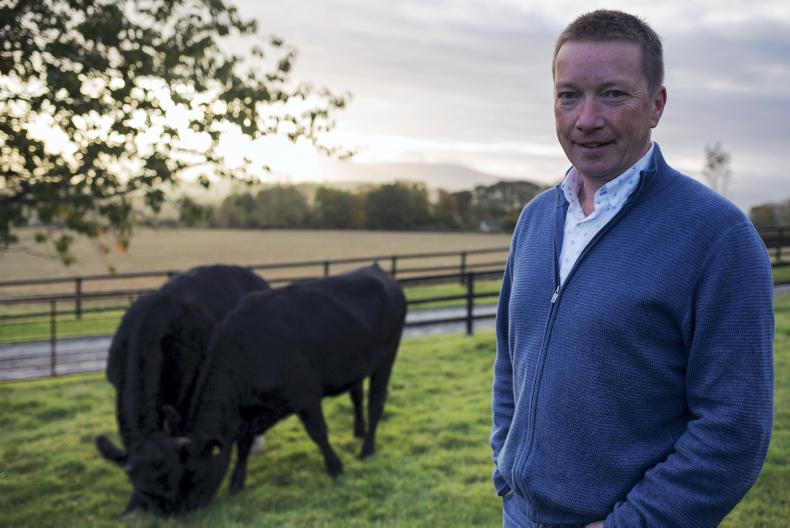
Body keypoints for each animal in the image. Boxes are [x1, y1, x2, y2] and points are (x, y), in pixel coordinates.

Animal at [139, 265, 406, 514]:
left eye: (189, 473)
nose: (178, 511)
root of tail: (376, 270)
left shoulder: (305, 395)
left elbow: (318, 432)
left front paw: (335, 467)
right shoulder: (255, 410)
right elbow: (244, 443)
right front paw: (237, 482)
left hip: (386, 359)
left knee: (376, 402)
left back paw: (367, 448)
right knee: (357, 396)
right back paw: (359, 432)